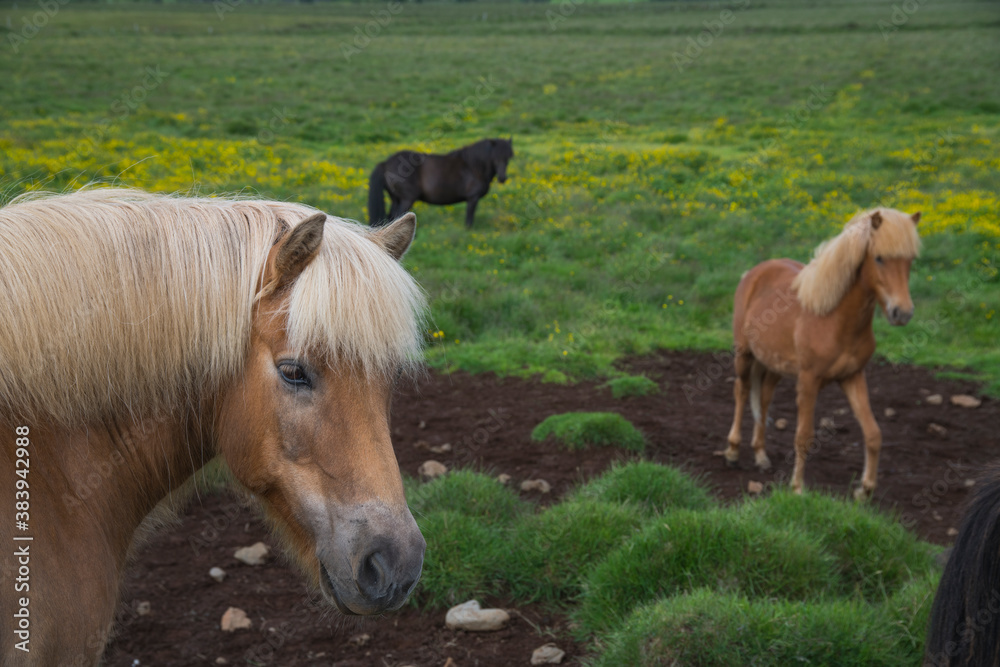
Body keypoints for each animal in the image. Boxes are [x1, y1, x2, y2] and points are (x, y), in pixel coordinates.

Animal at [368, 137, 516, 228]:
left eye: (509, 157)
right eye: (495, 157)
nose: (503, 178)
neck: (472, 166)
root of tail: (385, 163)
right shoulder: (472, 198)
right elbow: (469, 218)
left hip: (395, 199)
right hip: (406, 199)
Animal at [720, 210, 920, 500]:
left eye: (910, 260)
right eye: (879, 258)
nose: (902, 313)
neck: (834, 318)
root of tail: (754, 273)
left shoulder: (853, 377)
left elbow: (873, 433)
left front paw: (865, 490)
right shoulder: (808, 381)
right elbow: (804, 436)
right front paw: (797, 488)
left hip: (774, 366)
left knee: (764, 398)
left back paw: (761, 456)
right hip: (744, 355)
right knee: (742, 391)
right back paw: (733, 453)